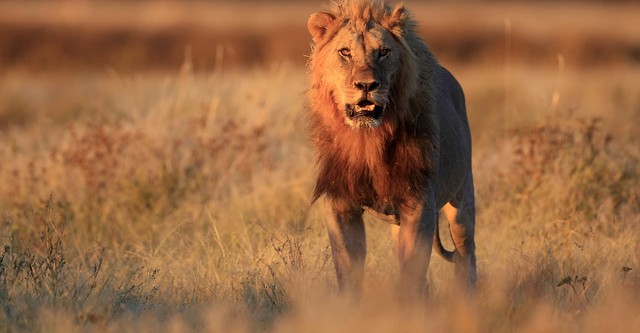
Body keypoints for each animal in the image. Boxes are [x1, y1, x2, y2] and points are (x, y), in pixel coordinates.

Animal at [308, 0, 478, 296]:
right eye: (345, 52)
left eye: (384, 52)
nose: (366, 85)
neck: (368, 140)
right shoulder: (340, 203)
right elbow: (348, 268)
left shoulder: (419, 204)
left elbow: (412, 272)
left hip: (462, 202)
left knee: (466, 255)